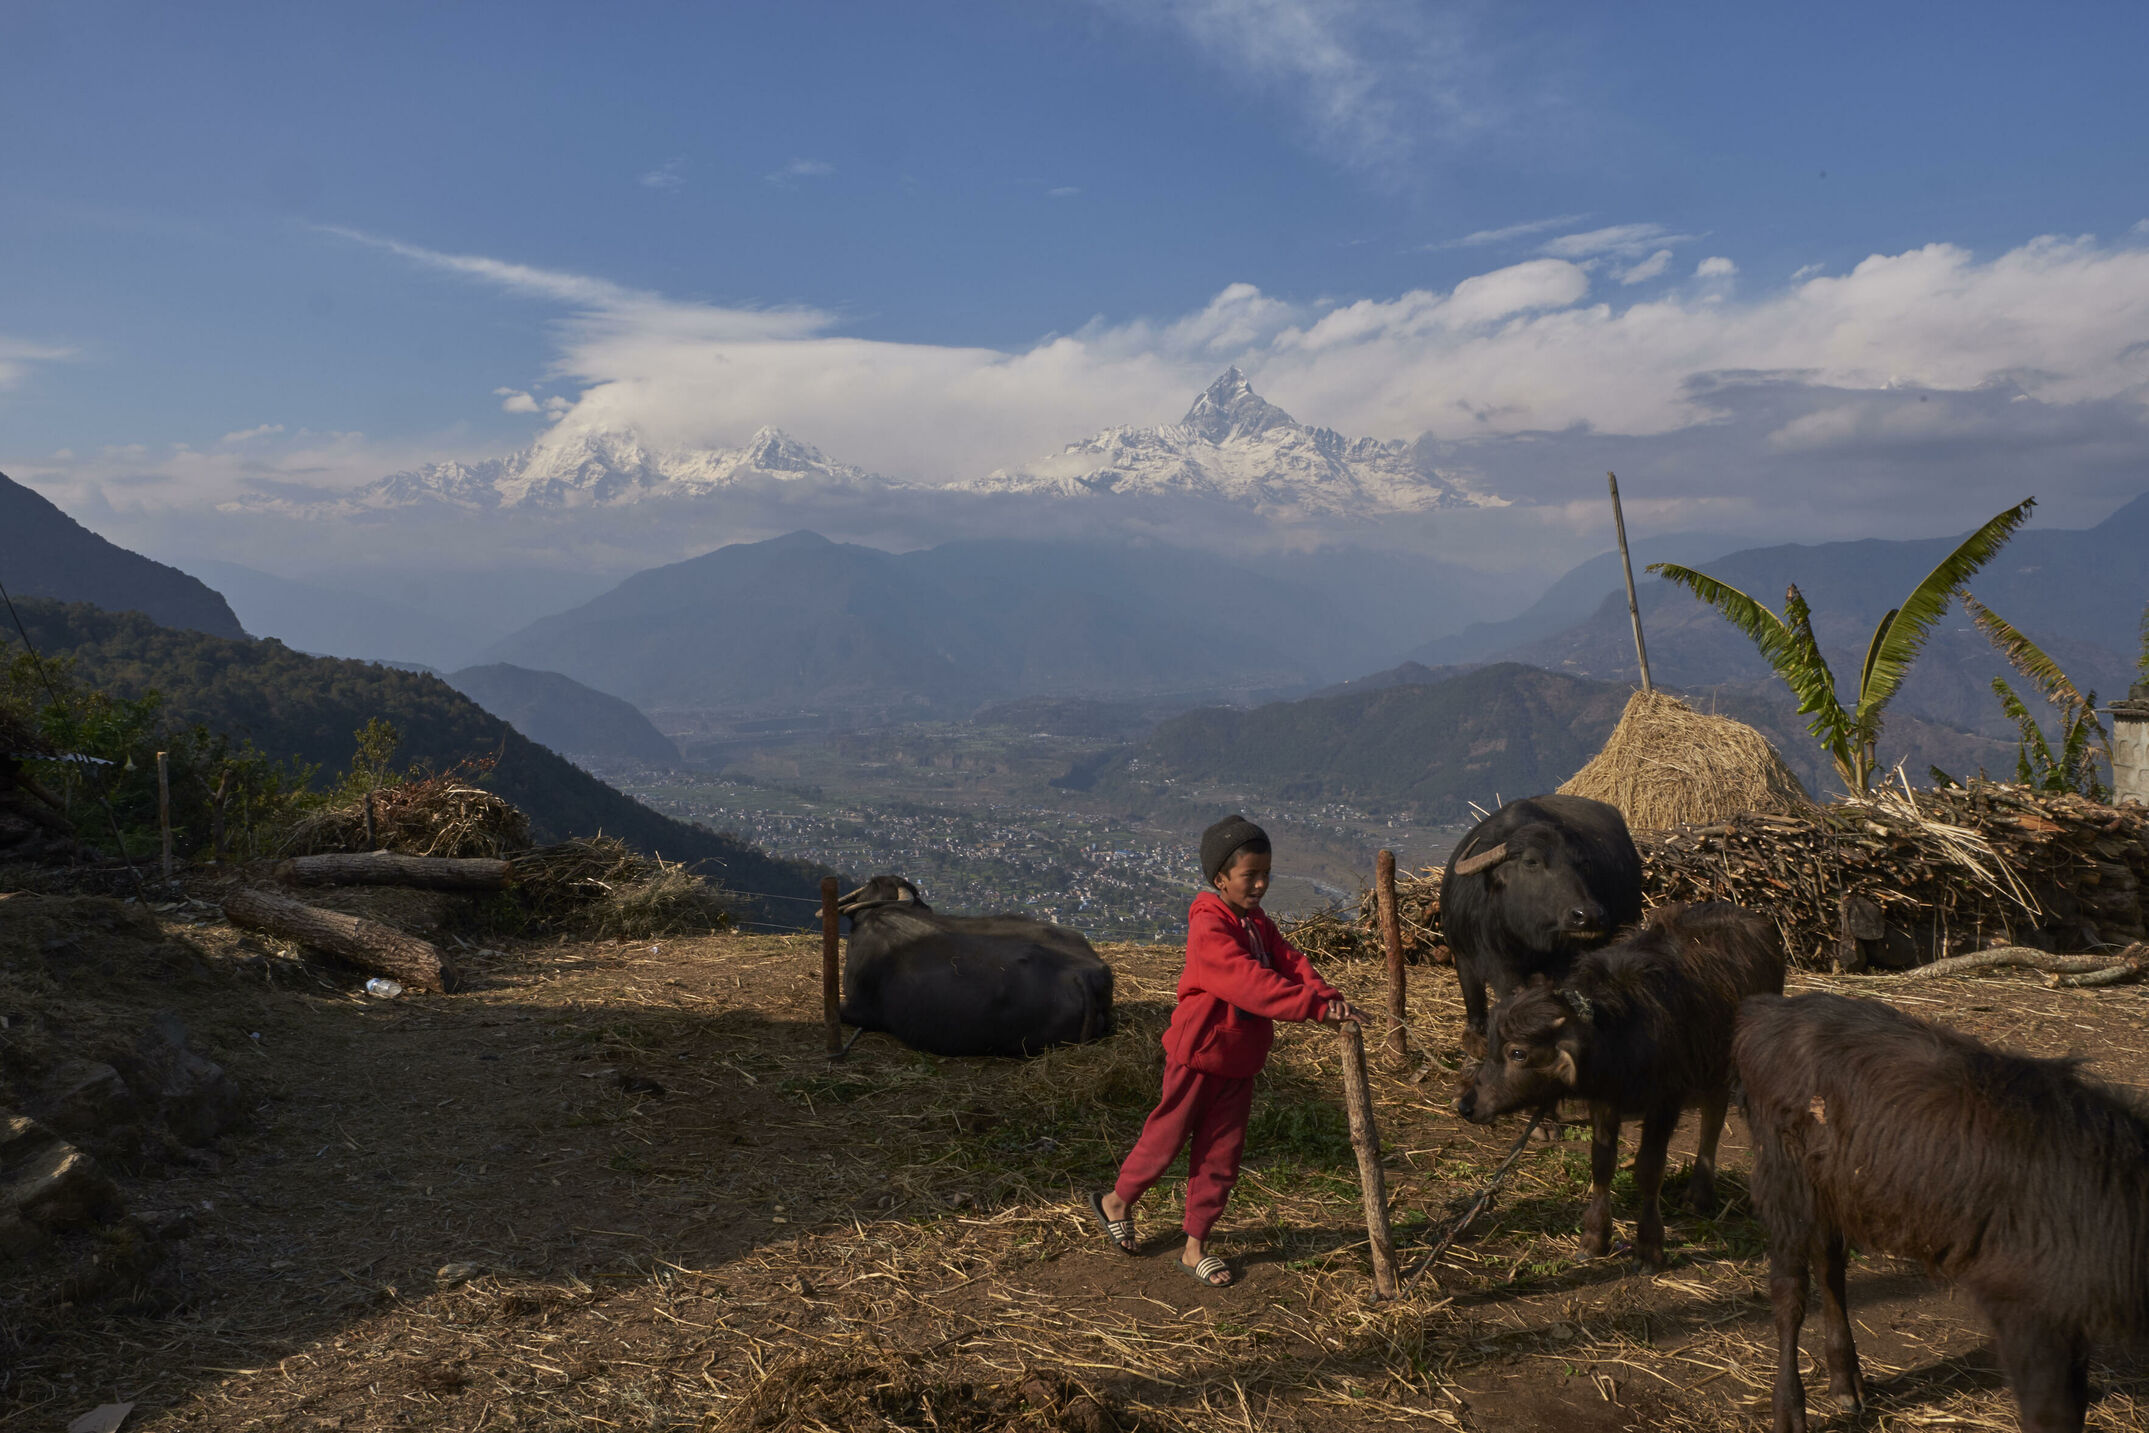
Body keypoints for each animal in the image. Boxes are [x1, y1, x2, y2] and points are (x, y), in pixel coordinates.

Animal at [1452, 902, 1787, 1271]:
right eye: (1492, 1045)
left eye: (1518, 1053)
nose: (1467, 1105)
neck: (1620, 1031)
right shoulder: (1605, 1100)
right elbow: (1602, 1164)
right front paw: (1595, 1238)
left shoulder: (1664, 1104)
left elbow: (1650, 1169)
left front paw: (1650, 1246)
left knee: (1713, 1119)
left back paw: (1700, 1194)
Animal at [1736, 992, 2149, 1433]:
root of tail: (1772, 1009)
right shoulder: (2027, 1312)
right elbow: (2052, 1414)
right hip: (1784, 1182)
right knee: (1789, 1293)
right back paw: (1790, 1409)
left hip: (1833, 1188)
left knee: (1830, 1266)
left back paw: (1846, 1380)